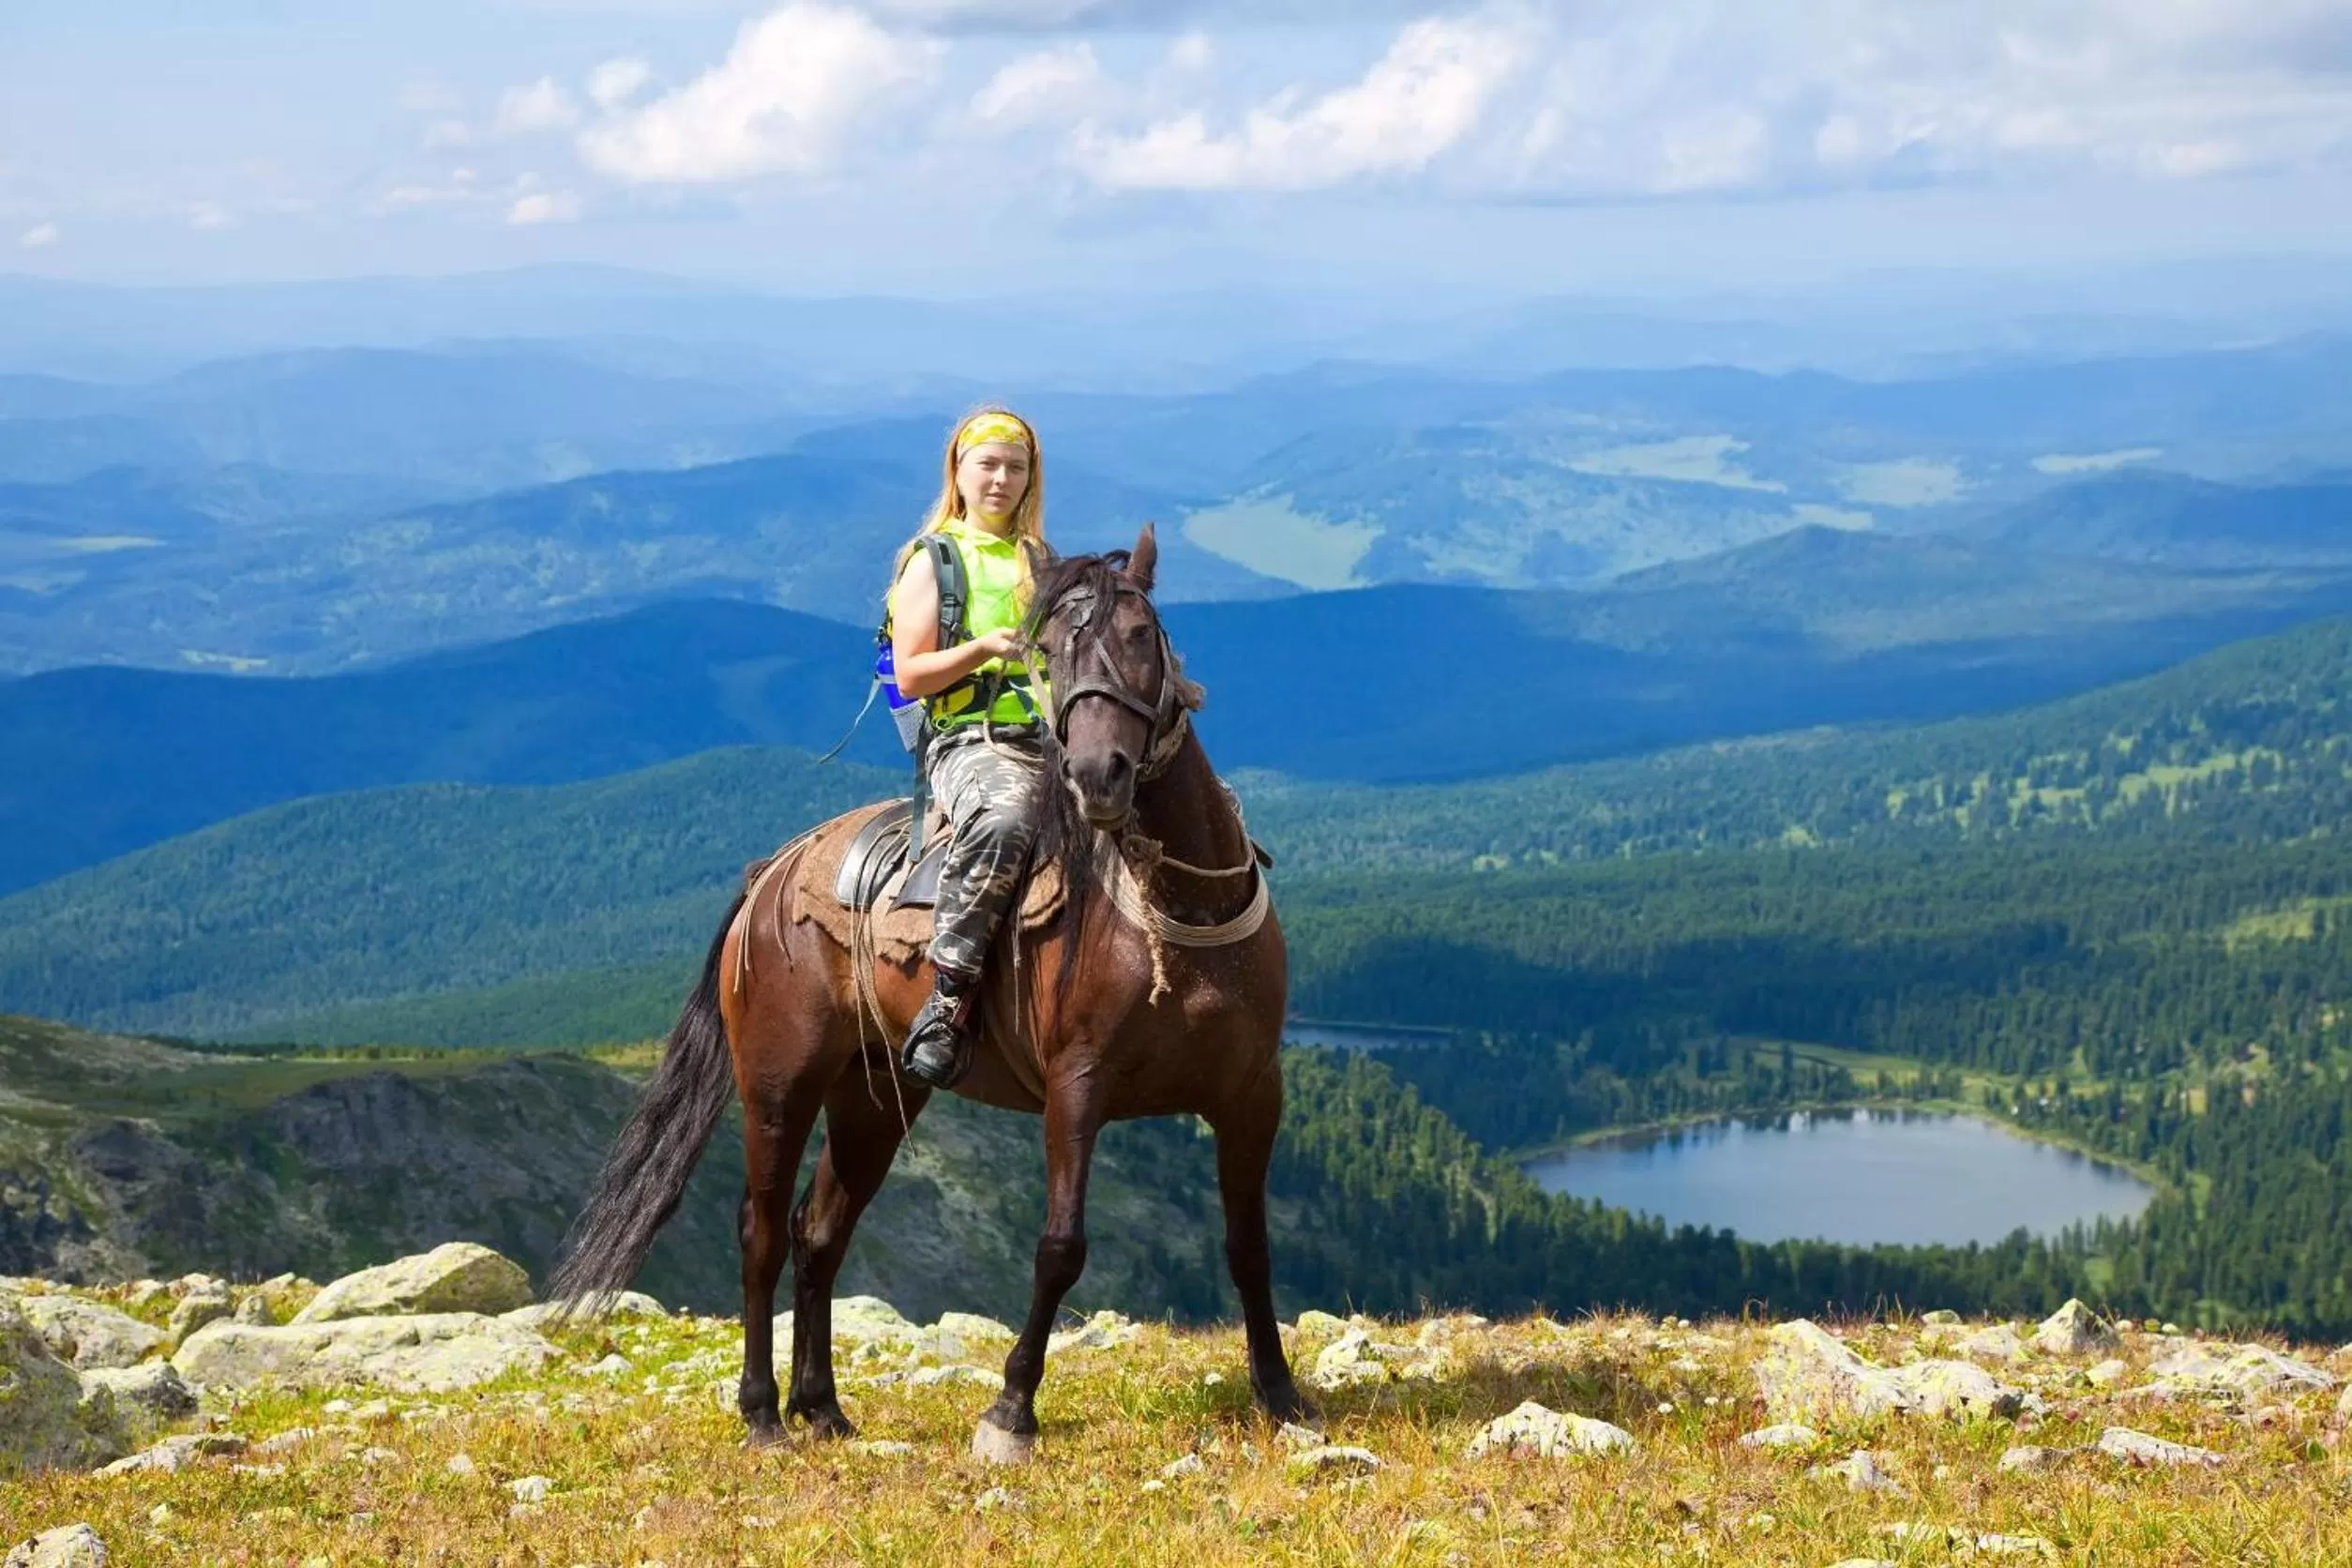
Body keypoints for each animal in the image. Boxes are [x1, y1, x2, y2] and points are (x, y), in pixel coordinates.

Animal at [548, 523, 1310, 1461]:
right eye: (1045, 654)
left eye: (1141, 634)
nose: (1097, 775)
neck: (1175, 907)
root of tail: (772, 874)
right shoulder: (1078, 1090)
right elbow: (1060, 1247)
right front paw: (1010, 1411)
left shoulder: (1251, 1096)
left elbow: (1249, 1248)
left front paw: (1281, 1395)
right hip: (778, 1085)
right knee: (762, 1232)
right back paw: (763, 1413)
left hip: (875, 1098)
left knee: (819, 1233)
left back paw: (822, 1407)